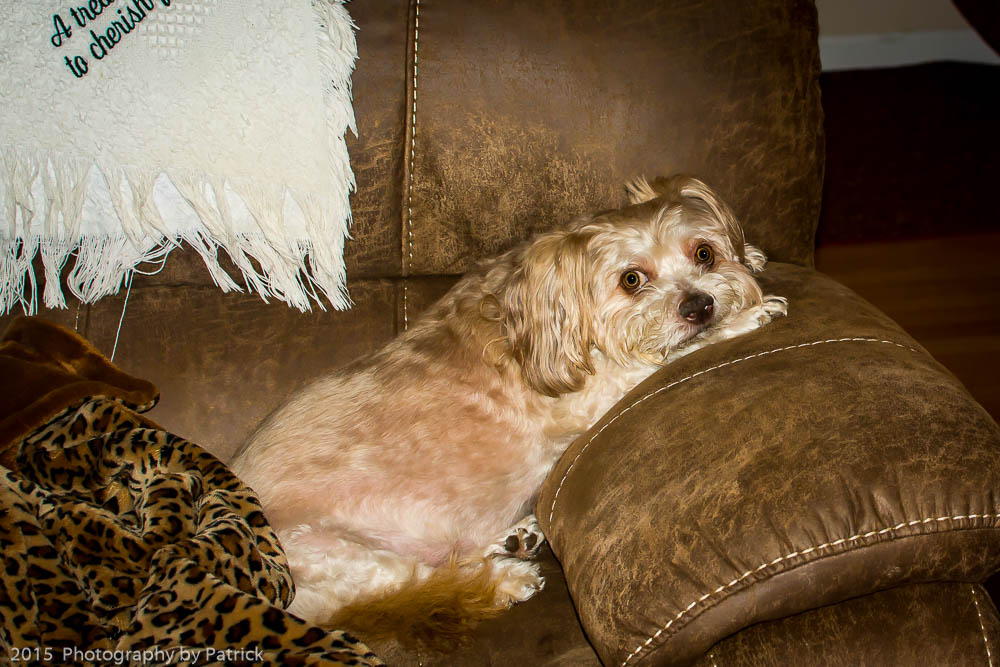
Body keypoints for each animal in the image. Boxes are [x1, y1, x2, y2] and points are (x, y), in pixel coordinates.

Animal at [229, 175, 787, 648]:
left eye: (704, 253)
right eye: (632, 279)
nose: (700, 306)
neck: (545, 316)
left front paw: (753, 259)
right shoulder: (593, 395)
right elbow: (667, 356)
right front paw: (745, 318)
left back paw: (513, 539)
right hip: (333, 552)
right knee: (426, 583)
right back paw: (507, 579)